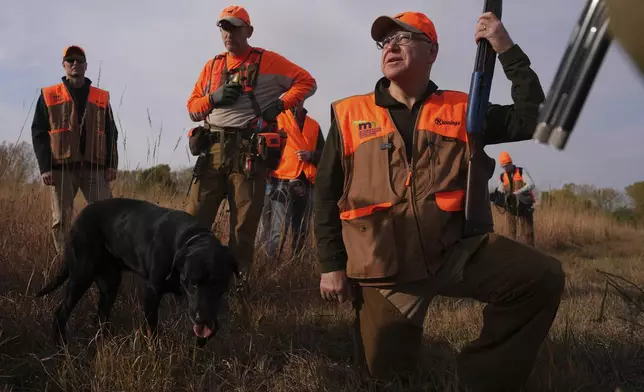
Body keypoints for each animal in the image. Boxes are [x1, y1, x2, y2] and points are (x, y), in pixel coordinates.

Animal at [34, 198, 239, 348]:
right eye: (190, 284)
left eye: (217, 283)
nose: (200, 318)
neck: (188, 238)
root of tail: (78, 219)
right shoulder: (151, 292)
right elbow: (153, 329)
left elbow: (213, 327)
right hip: (81, 277)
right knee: (61, 314)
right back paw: (60, 347)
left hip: (110, 284)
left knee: (100, 316)